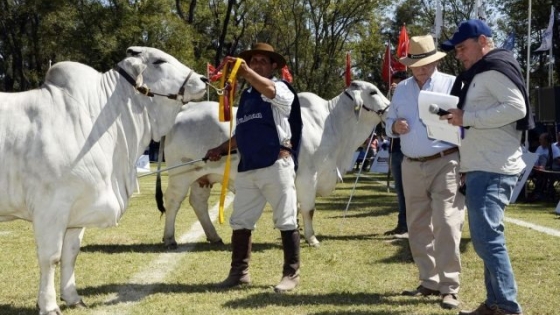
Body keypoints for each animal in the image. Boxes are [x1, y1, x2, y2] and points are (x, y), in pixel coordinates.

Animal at [0, 45, 207, 314]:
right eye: (159, 61)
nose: (204, 79)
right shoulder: (50, 209)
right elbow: (51, 257)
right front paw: (49, 305)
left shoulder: (76, 212)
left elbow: (71, 254)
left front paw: (73, 297)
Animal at [155, 81, 388, 249]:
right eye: (374, 92)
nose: (389, 108)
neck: (331, 125)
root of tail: (185, 109)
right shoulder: (308, 178)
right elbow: (309, 209)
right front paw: (312, 239)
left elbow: (295, 208)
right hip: (180, 174)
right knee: (173, 202)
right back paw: (170, 239)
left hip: (202, 176)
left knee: (198, 203)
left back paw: (214, 237)